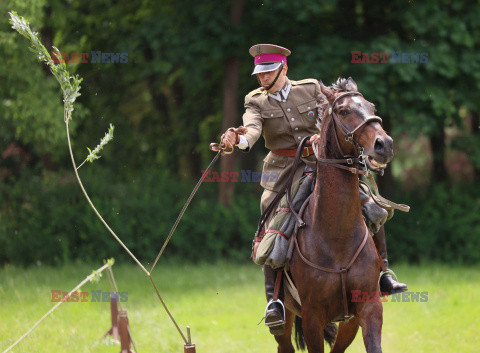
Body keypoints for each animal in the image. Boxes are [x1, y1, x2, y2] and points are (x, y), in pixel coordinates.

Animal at [278, 77, 394, 352]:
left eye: (372, 107)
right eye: (343, 111)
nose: (384, 144)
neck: (336, 238)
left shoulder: (367, 310)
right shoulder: (312, 319)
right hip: (285, 320)